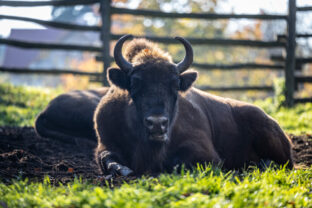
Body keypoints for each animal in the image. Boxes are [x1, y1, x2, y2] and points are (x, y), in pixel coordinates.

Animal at [35, 34, 294, 177]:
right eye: (135, 84)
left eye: (174, 86)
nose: (157, 124)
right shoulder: (105, 144)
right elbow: (109, 160)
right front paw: (124, 170)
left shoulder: (205, 153)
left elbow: (180, 163)